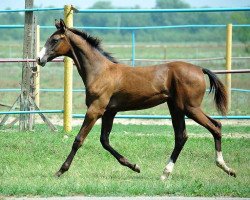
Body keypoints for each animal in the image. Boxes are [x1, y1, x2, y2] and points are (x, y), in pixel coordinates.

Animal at [36, 19, 235, 180]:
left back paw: (226, 167)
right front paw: (134, 166)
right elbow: (105, 141)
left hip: (190, 107)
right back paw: (165, 173)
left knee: (215, 126)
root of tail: (200, 69)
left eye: (55, 40)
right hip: (176, 107)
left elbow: (79, 140)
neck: (100, 71)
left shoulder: (95, 109)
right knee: (182, 136)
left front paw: (60, 170)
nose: (39, 59)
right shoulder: (109, 112)